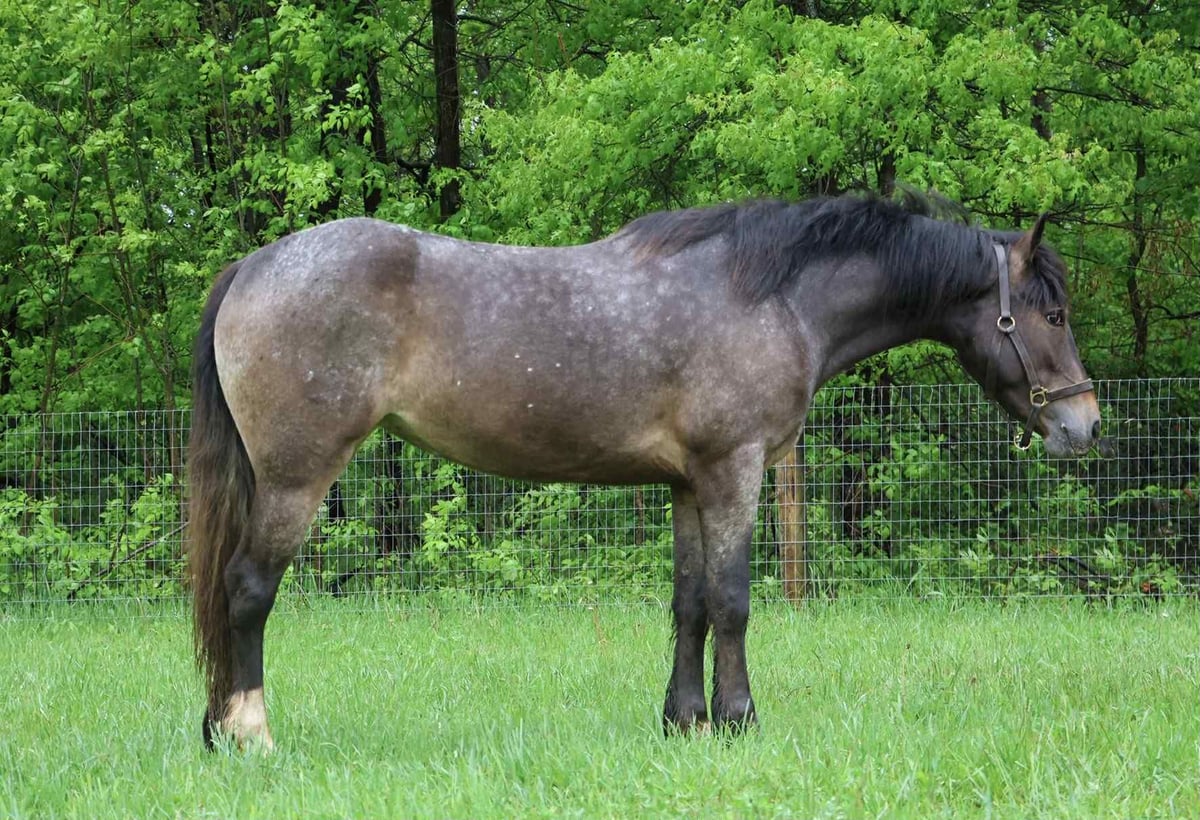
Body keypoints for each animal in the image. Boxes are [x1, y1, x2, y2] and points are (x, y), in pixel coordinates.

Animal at [188, 192, 1100, 749]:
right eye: (1052, 314)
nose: (1084, 424)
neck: (771, 297)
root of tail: (254, 266)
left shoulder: (688, 484)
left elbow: (689, 605)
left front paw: (684, 721)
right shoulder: (734, 471)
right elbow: (732, 602)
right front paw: (740, 720)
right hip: (298, 478)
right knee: (247, 591)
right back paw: (251, 733)